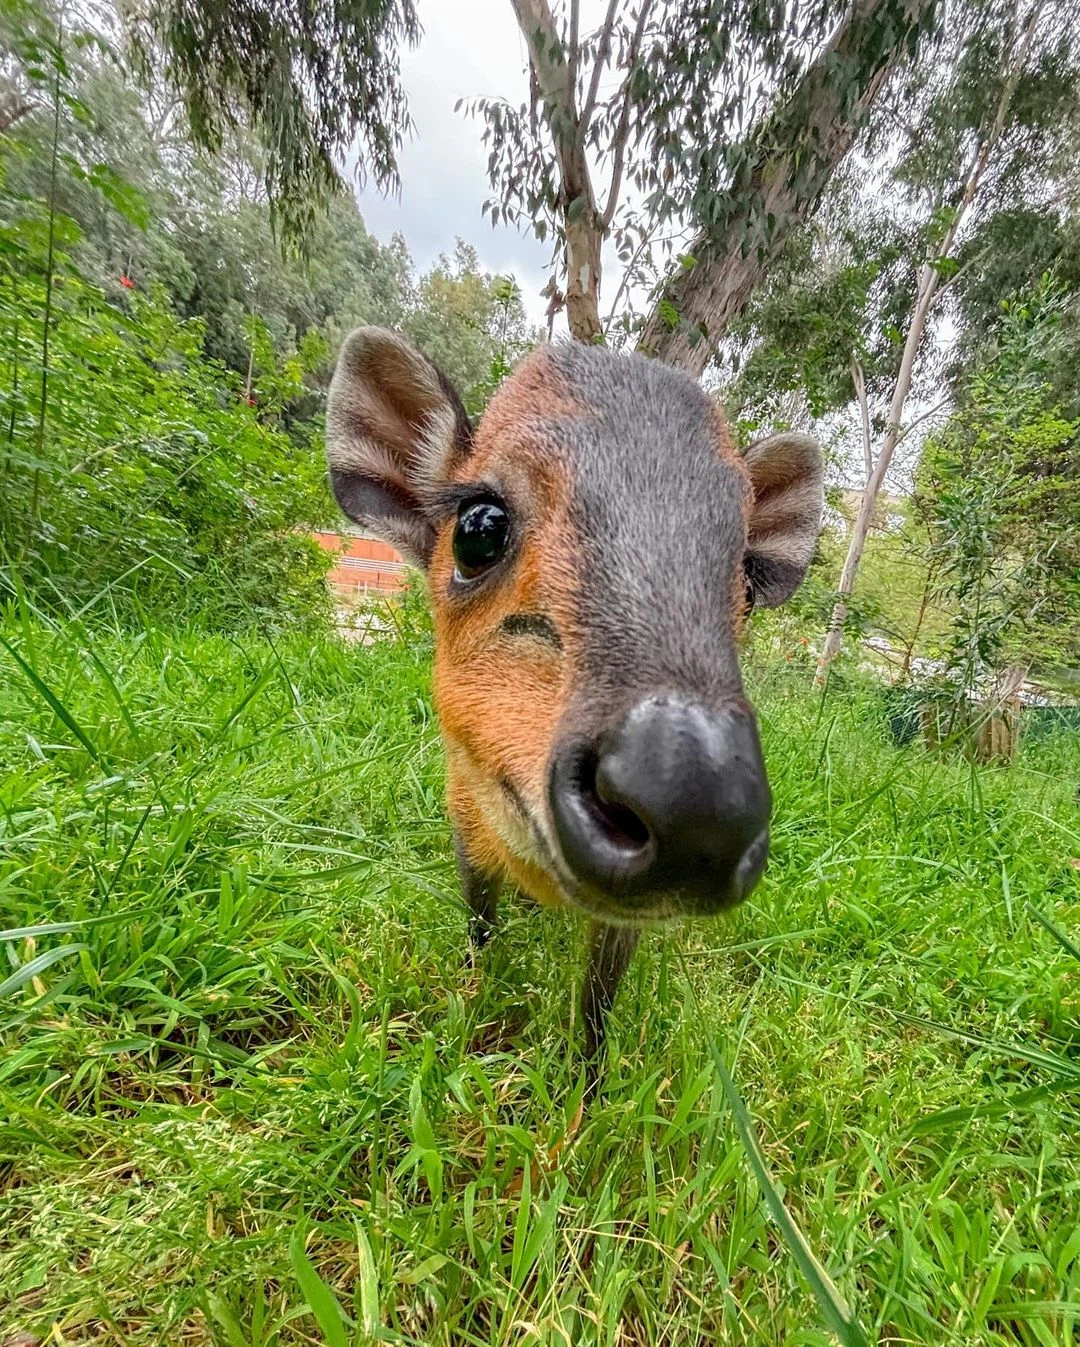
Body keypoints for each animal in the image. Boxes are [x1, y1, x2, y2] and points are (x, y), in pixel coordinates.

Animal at [324, 328, 818, 1061]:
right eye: (478, 528)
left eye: (748, 581)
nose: (699, 802)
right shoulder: (464, 824)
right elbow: (480, 930)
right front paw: (469, 1011)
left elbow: (596, 1008)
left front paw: (582, 1092)